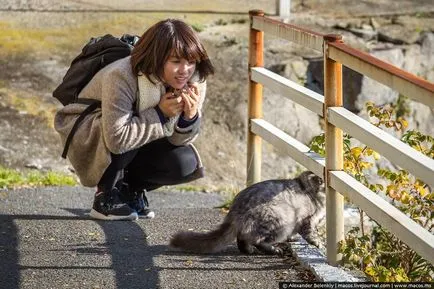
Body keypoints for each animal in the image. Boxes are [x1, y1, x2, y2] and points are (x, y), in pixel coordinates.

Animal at [170, 170, 326, 253]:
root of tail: (234, 211)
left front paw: (292, 238)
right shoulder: (308, 219)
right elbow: (311, 233)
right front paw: (318, 243)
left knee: (242, 236)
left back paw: (247, 249)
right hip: (282, 215)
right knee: (257, 238)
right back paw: (272, 249)